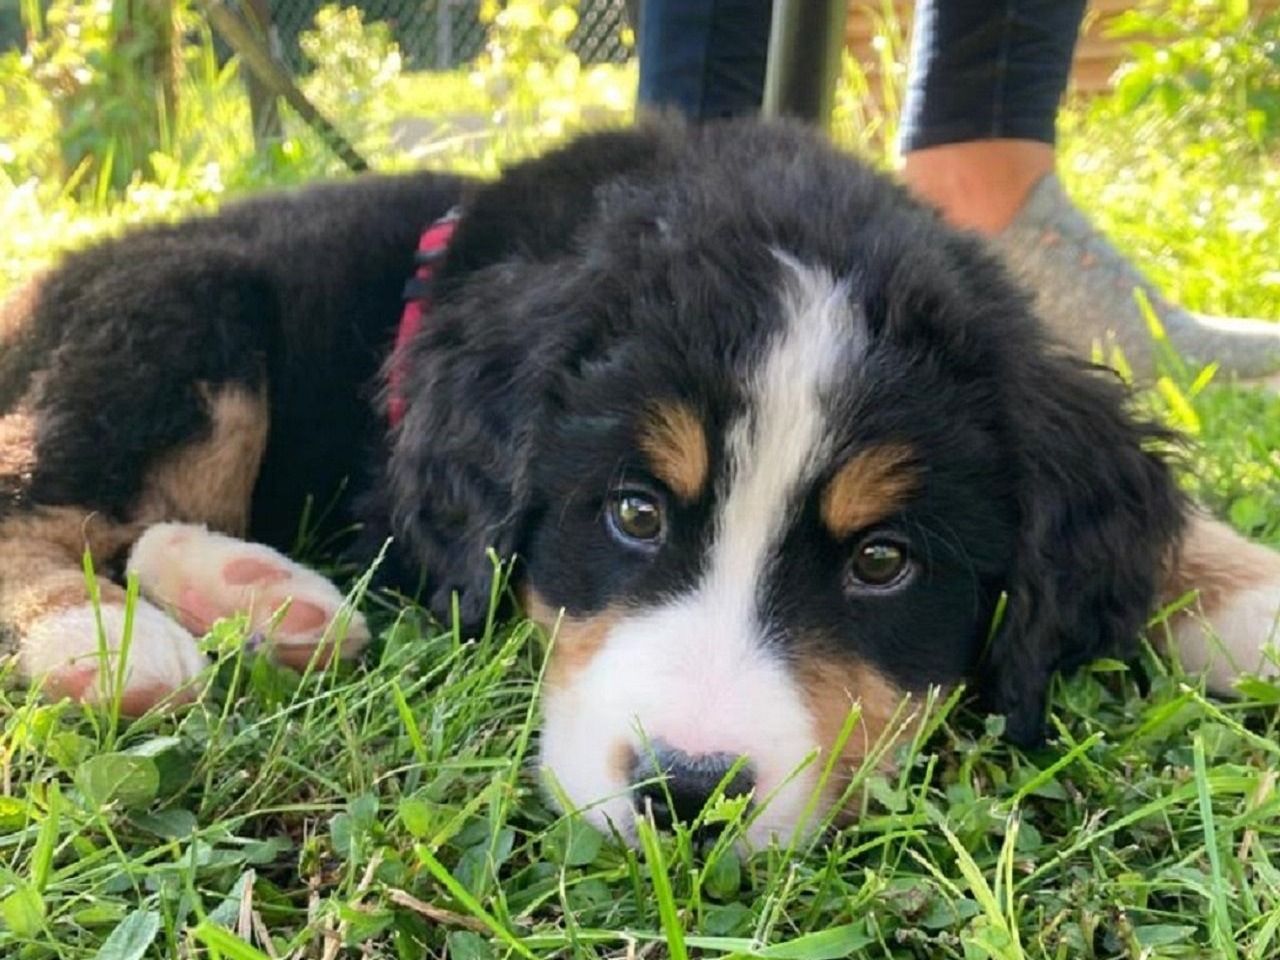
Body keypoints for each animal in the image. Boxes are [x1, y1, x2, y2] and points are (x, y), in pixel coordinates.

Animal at [2, 116, 1280, 844]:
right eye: (631, 512)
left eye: (882, 562)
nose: (687, 793)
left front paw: (1242, 592)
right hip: (188, 317)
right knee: (43, 501)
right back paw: (110, 641)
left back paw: (267, 602)